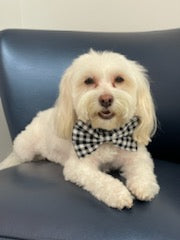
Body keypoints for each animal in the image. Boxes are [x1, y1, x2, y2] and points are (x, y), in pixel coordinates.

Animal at [0, 50, 160, 208]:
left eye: (119, 79)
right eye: (88, 81)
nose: (106, 99)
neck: (107, 134)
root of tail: (38, 116)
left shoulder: (138, 156)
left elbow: (143, 171)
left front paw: (143, 187)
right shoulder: (79, 166)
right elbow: (101, 180)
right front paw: (118, 194)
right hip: (25, 147)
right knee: (18, 156)